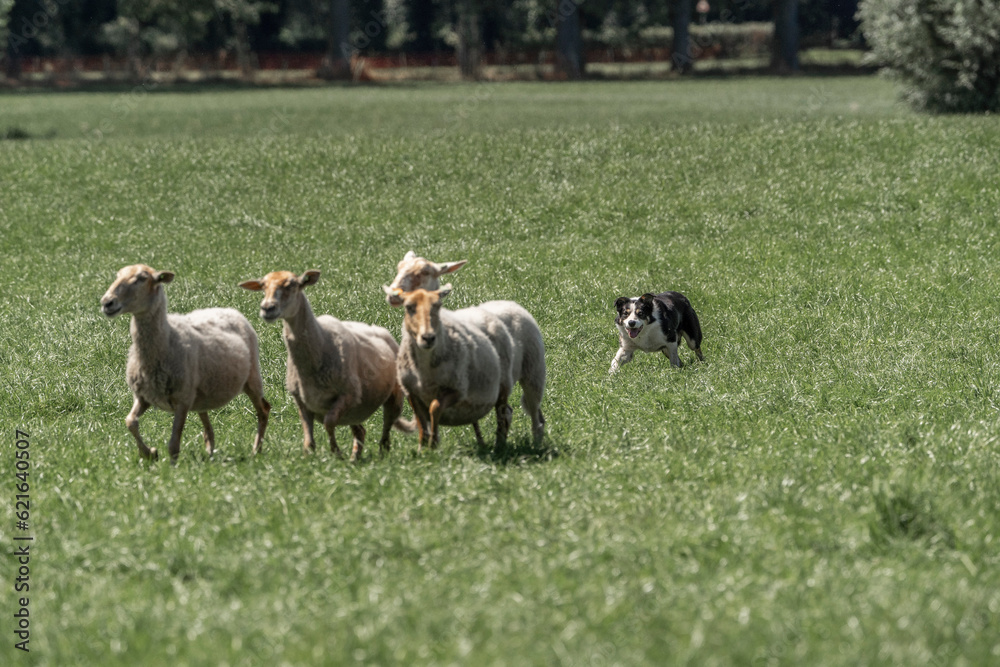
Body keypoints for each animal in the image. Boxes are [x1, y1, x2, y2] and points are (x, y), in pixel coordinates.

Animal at [100, 264, 270, 463]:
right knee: (208, 426)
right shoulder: (143, 396)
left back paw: (256, 451)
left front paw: (172, 468)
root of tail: (230, 309)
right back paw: (210, 453)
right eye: (118, 275)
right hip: (201, 394)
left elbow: (173, 444)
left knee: (264, 410)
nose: (107, 302)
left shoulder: (182, 400)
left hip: (252, 378)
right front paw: (150, 453)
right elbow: (130, 422)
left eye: (141, 279)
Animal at [240, 269, 411, 460]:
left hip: (393, 396)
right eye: (263, 286)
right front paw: (312, 456)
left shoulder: (347, 395)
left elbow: (329, 423)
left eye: (291, 285)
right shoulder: (302, 401)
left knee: (386, 431)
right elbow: (309, 439)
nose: (267, 308)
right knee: (360, 431)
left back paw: (381, 454)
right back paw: (355, 458)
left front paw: (336, 453)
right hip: (353, 411)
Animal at [386, 284, 546, 452]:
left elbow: (435, 408)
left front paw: (433, 443)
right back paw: (499, 445)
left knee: (531, 416)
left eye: (437, 306)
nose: (428, 338)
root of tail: (509, 303)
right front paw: (423, 449)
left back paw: (532, 444)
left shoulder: (457, 390)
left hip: (531, 374)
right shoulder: (412, 393)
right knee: (507, 413)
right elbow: (423, 426)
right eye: (409, 307)